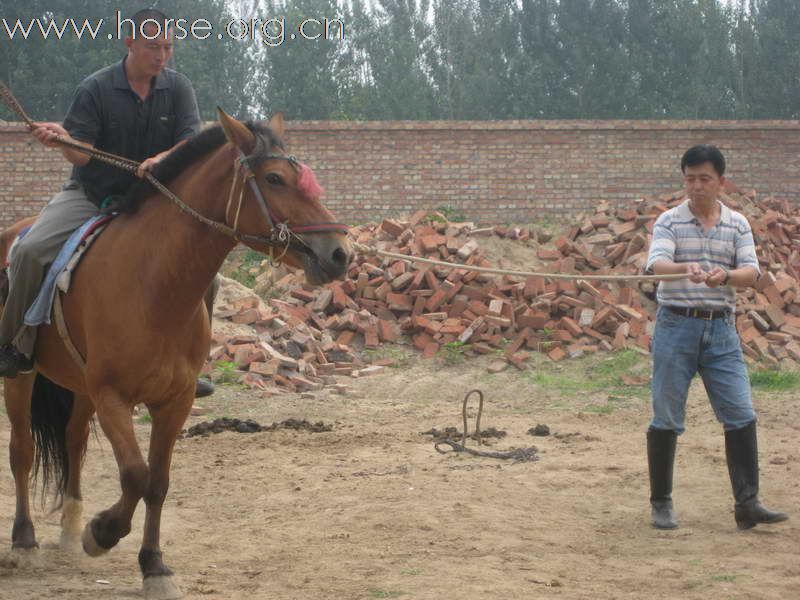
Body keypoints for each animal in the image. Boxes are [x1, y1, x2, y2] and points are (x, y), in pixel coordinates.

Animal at [1, 110, 350, 596]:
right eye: (275, 178)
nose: (339, 253)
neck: (153, 282)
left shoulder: (174, 401)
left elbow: (158, 483)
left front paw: (154, 566)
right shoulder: (113, 397)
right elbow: (135, 474)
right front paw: (102, 533)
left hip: (80, 386)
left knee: (73, 440)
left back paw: (70, 529)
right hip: (21, 377)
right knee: (22, 450)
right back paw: (25, 541)